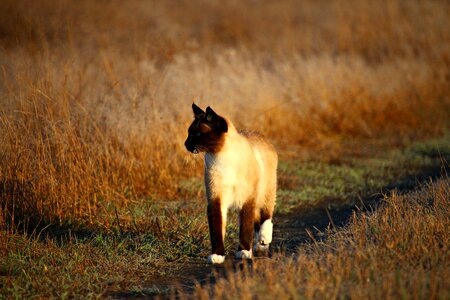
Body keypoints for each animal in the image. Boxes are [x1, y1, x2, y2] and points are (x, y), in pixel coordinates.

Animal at [184, 104, 276, 264]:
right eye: (189, 133)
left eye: (197, 134)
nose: (186, 144)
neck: (221, 157)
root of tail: (258, 134)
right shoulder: (216, 200)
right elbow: (217, 230)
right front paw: (217, 256)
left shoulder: (247, 200)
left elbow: (245, 228)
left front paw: (244, 252)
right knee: (256, 221)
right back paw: (259, 246)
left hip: (265, 192)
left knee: (265, 215)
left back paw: (264, 241)